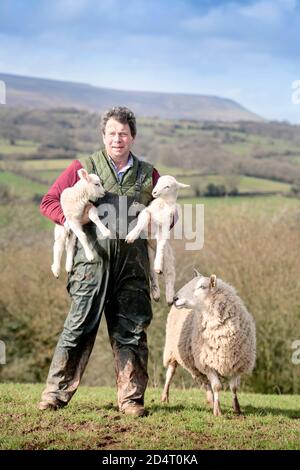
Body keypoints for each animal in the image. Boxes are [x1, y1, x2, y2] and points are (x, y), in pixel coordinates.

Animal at [125, 176, 189, 304]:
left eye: (168, 186)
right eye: (158, 182)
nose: (154, 192)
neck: (163, 204)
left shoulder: (165, 226)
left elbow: (161, 244)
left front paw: (158, 264)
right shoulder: (147, 212)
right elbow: (143, 221)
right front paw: (131, 236)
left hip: (168, 257)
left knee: (170, 274)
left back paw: (169, 297)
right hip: (149, 255)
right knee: (152, 274)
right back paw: (156, 294)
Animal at [162, 270, 255, 416]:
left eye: (202, 286)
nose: (174, 299)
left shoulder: (236, 363)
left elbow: (234, 388)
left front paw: (237, 409)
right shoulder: (208, 363)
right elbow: (217, 386)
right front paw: (217, 412)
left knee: (205, 382)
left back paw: (211, 400)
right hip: (172, 351)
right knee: (170, 373)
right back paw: (165, 397)